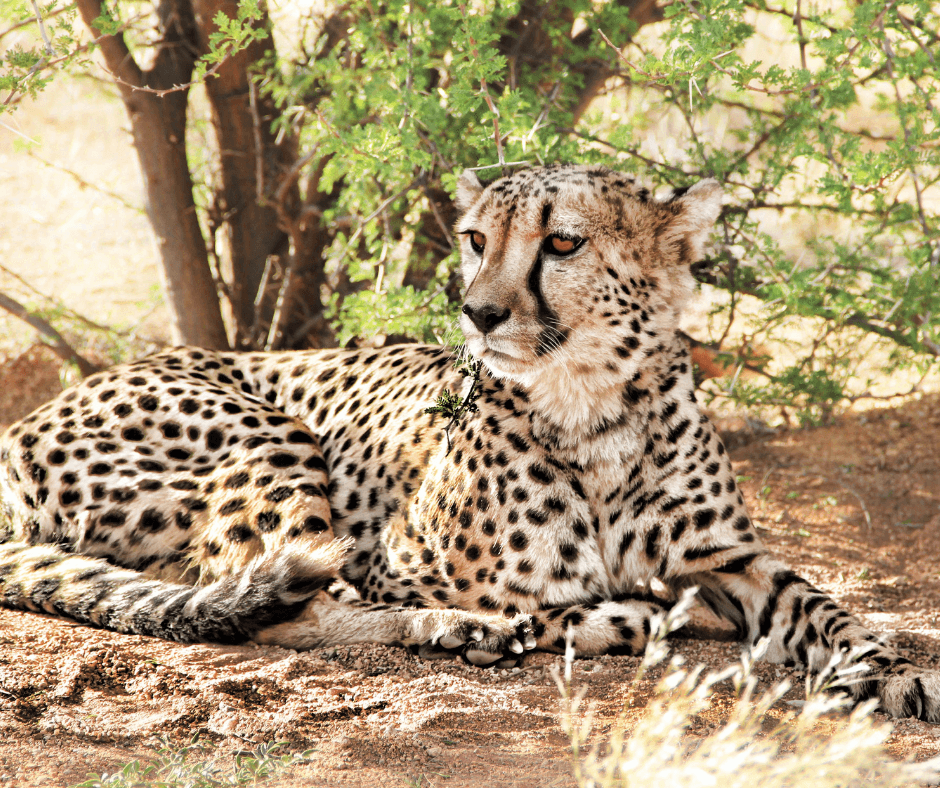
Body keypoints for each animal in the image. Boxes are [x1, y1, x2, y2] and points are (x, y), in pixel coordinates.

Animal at [1, 163, 938, 721]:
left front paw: (892, 669)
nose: (478, 312)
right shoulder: (386, 560)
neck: (593, 407)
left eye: (563, 242)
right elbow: (552, 603)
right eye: (477, 239)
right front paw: (582, 616)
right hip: (269, 434)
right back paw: (465, 630)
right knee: (265, 602)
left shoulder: (729, 558)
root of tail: (21, 424)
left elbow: (824, 605)